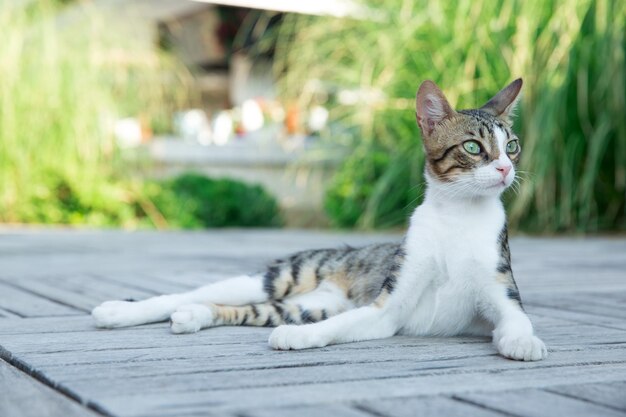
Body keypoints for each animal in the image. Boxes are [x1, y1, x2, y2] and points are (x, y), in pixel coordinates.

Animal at [92, 79, 544, 360]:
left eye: (512, 145)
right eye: (472, 147)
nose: (506, 169)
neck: (458, 218)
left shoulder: (501, 292)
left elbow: (517, 320)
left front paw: (524, 342)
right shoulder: (388, 307)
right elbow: (342, 325)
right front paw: (299, 339)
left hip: (307, 304)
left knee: (243, 308)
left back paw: (195, 316)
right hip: (286, 274)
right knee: (193, 293)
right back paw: (117, 311)